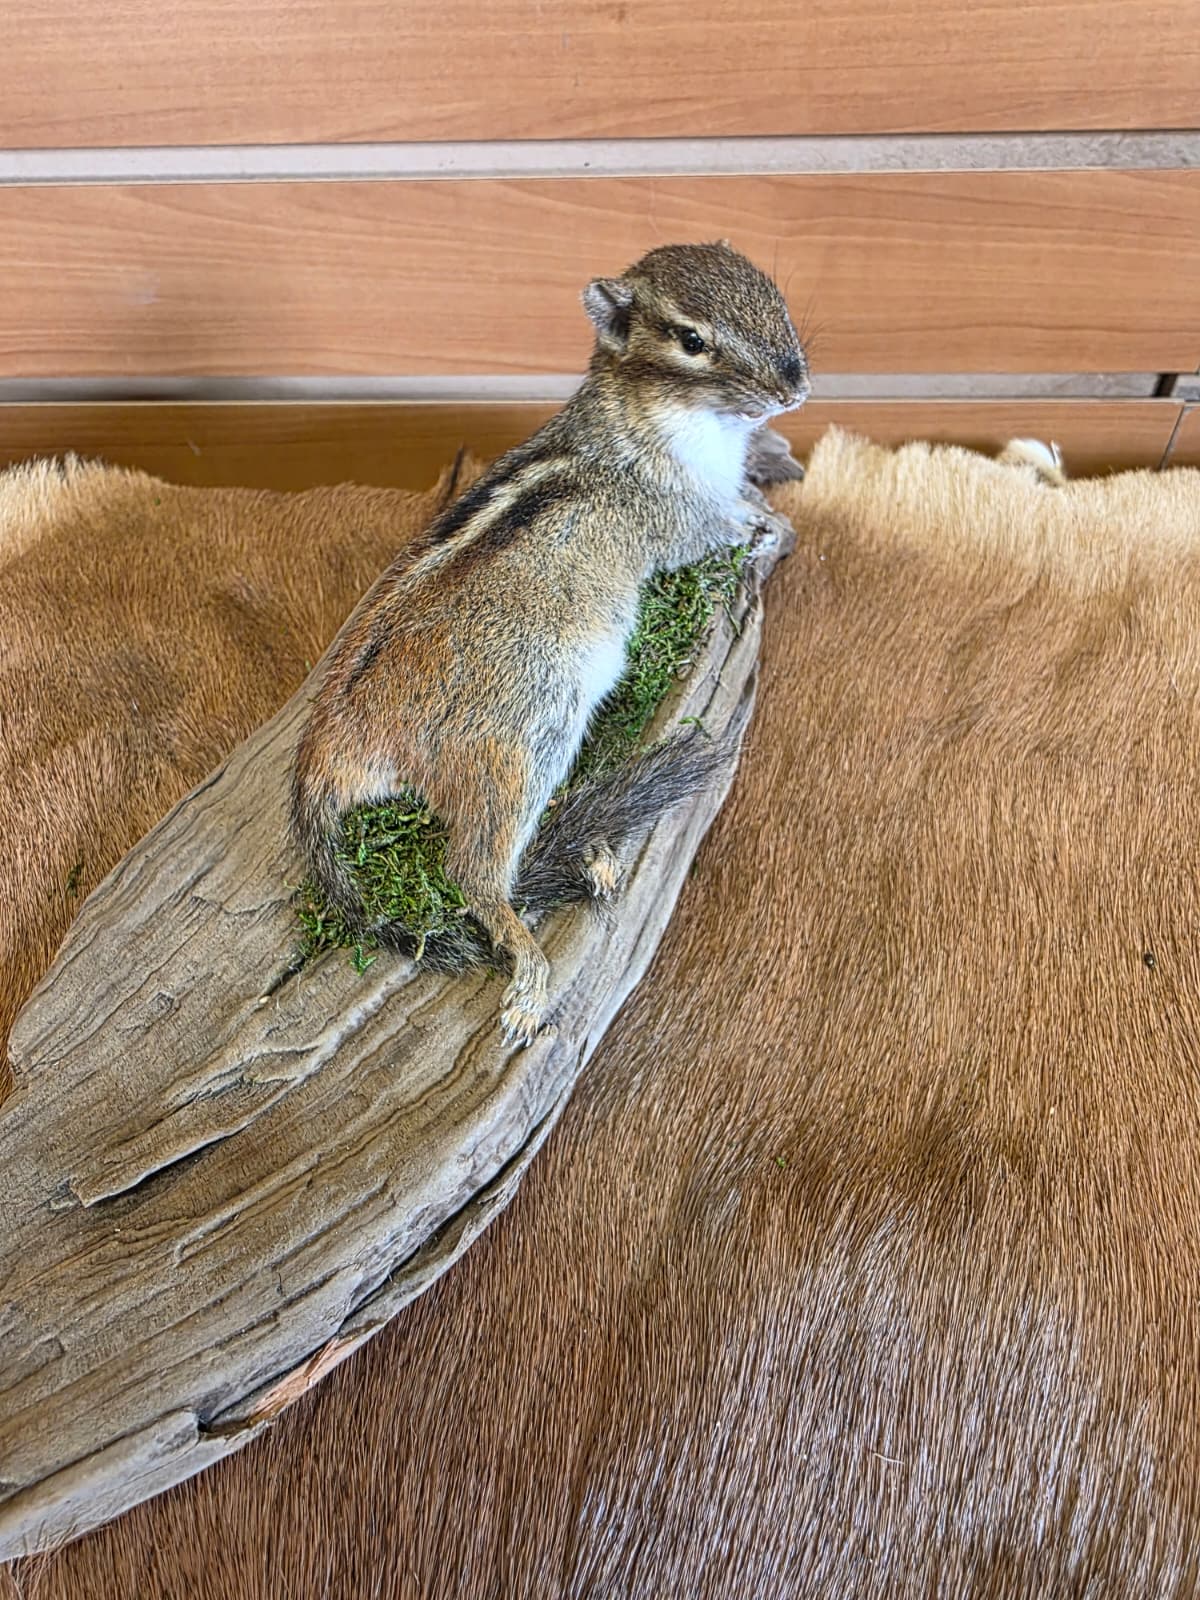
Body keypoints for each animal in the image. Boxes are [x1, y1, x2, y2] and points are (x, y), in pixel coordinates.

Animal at [291, 240, 810, 1045]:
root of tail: (329, 744)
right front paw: (769, 520)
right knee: (471, 872)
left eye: (776, 298)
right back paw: (528, 974)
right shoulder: (684, 518)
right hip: (516, 751)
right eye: (691, 340)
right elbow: (727, 526)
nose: (796, 387)